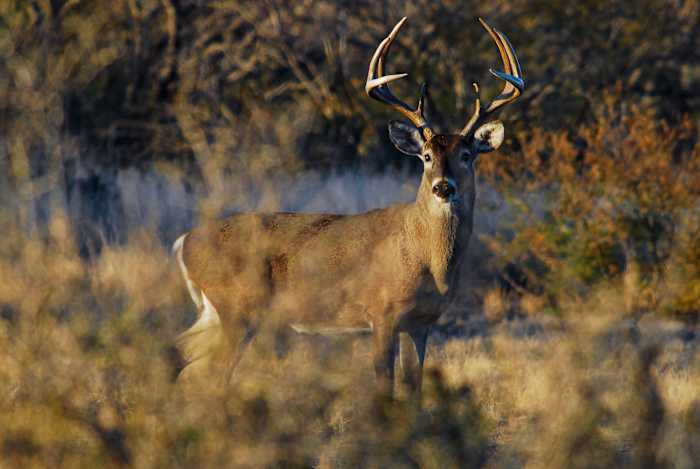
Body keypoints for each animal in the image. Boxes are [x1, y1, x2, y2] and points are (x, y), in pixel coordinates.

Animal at [172, 17, 524, 399]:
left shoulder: (420, 323)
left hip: (215, 312)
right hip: (237, 308)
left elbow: (413, 389)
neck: (427, 257)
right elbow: (384, 384)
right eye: (427, 156)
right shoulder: (381, 312)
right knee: (215, 373)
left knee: (174, 350)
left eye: (467, 154)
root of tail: (184, 241)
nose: (443, 187)